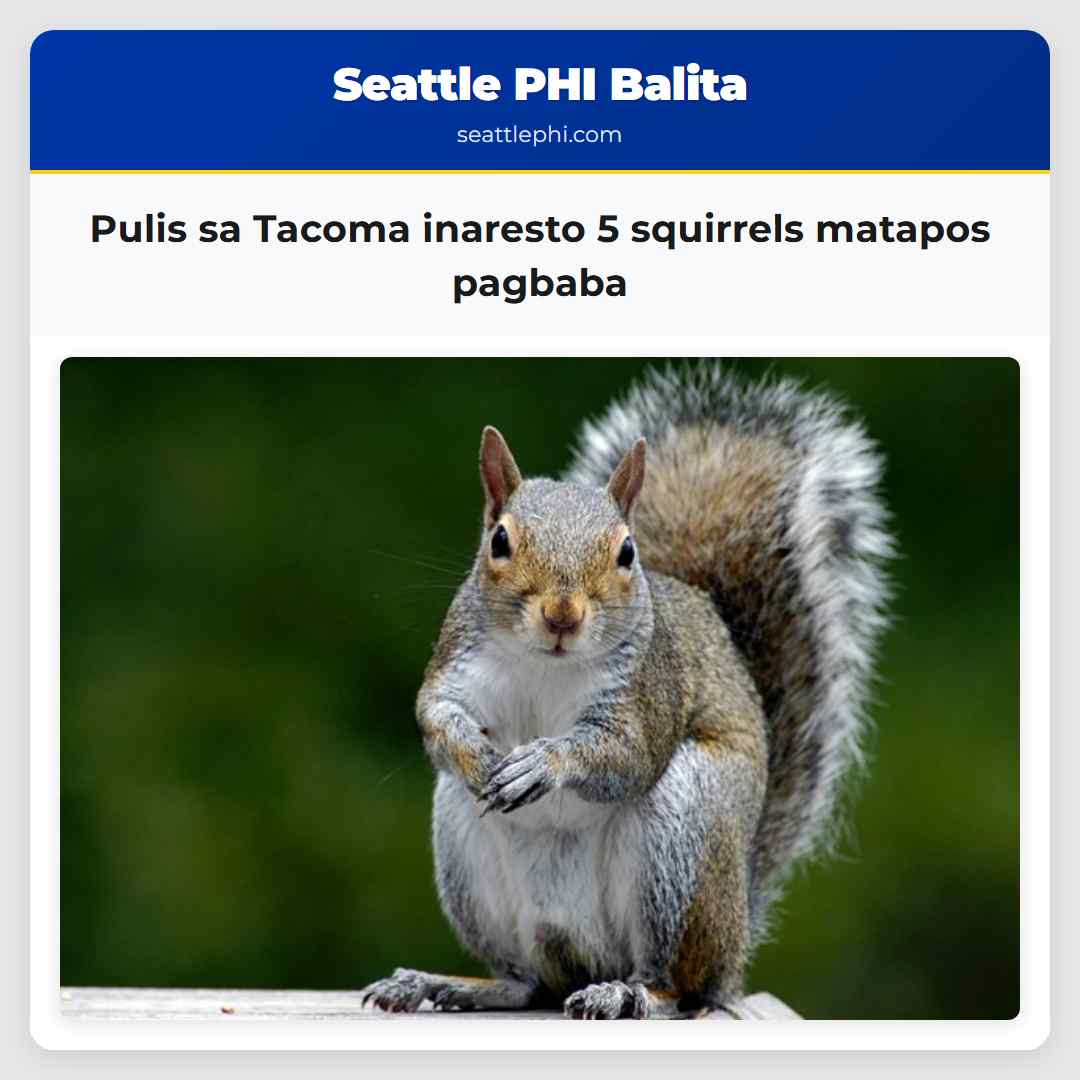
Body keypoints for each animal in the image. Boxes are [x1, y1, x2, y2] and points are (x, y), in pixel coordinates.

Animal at [360, 362, 891, 1019]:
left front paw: (543, 762)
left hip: (683, 835)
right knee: (523, 982)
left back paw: (629, 993)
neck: (547, 664)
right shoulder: (458, 663)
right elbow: (436, 713)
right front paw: (477, 756)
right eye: (499, 541)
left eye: (626, 550)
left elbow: (628, 753)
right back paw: (444, 984)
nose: (562, 614)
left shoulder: (648, 692)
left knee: (681, 987)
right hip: (465, 848)